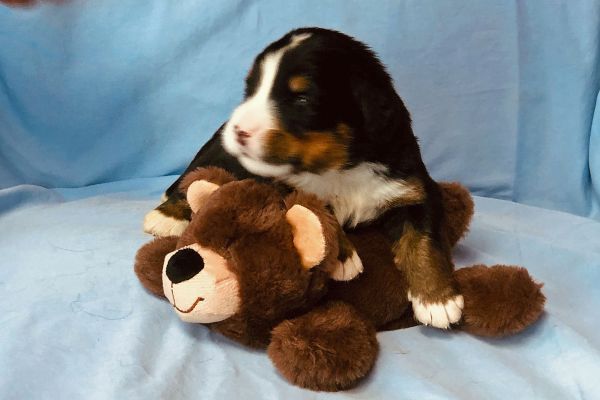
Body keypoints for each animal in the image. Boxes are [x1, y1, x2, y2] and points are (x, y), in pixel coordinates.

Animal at [145, 27, 464, 328]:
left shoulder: (414, 189)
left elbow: (424, 242)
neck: (341, 168)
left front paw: (437, 300)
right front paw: (344, 258)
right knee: (194, 175)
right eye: (251, 90)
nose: (239, 130)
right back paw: (164, 216)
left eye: (302, 98)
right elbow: (318, 208)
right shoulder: (279, 187)